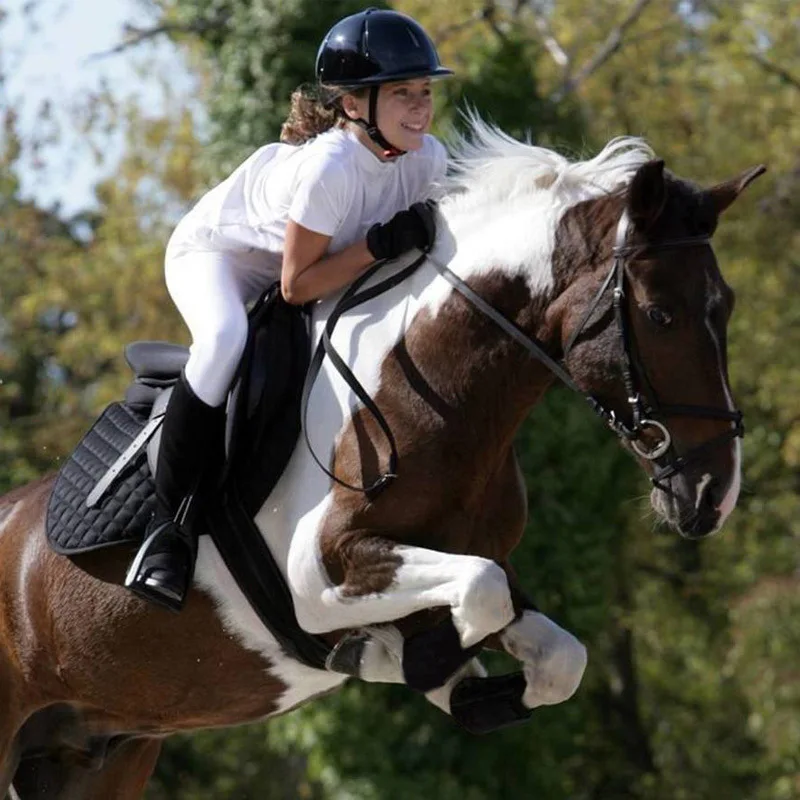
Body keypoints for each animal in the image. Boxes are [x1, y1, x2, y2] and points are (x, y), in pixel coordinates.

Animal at [0, 120, 764, 800]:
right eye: (661, 314)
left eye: (726, 307)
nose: (714, 494)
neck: (441, 392)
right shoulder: (319, 575)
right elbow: (478, 594)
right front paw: (408, 659)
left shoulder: (462, 562)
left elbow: (552, 654)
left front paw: (442, 676)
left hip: (96, 757)